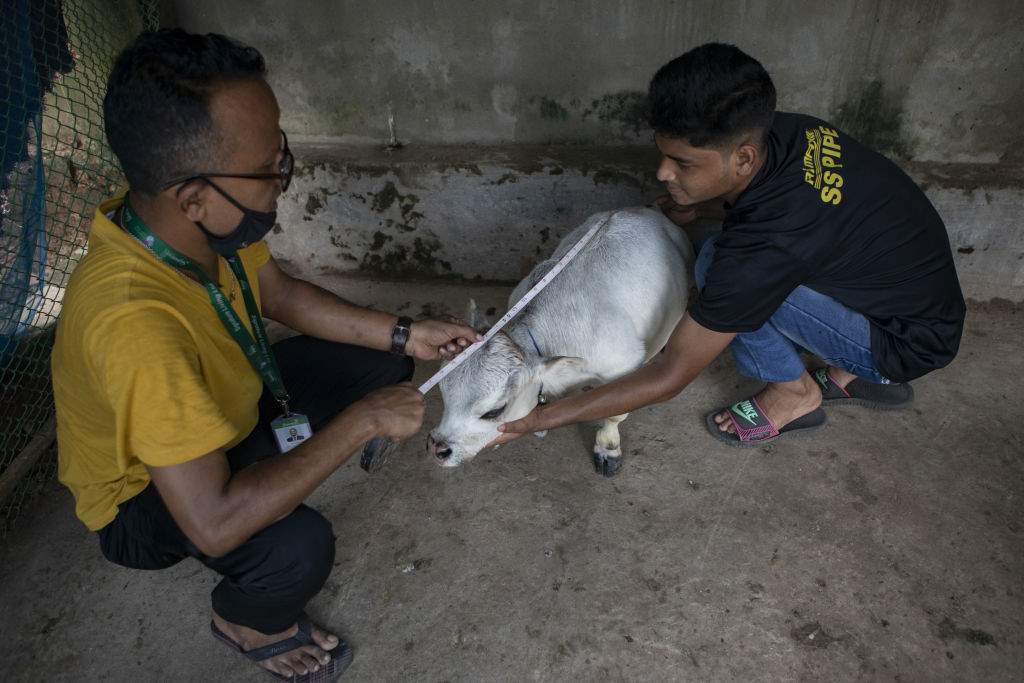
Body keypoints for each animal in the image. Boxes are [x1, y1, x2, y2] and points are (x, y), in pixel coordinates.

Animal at [423, 205, 696, 479]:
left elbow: (615, 414)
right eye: (443, 392)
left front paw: (608, 449)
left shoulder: (623, 369)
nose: (438, 449)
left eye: (494, 412)